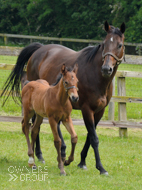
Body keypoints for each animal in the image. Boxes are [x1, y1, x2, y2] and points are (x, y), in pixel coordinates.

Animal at [0, 21, 125, 175]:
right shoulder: (86, 109)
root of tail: (39, 49)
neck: (96, 77)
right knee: (35, 125)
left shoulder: (99, 111)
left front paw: (82, 162)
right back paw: (39, 155)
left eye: (120, 45)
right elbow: (94, 138)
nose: (106, 69)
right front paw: (101, 167)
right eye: (104, 43)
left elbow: (90, 137)